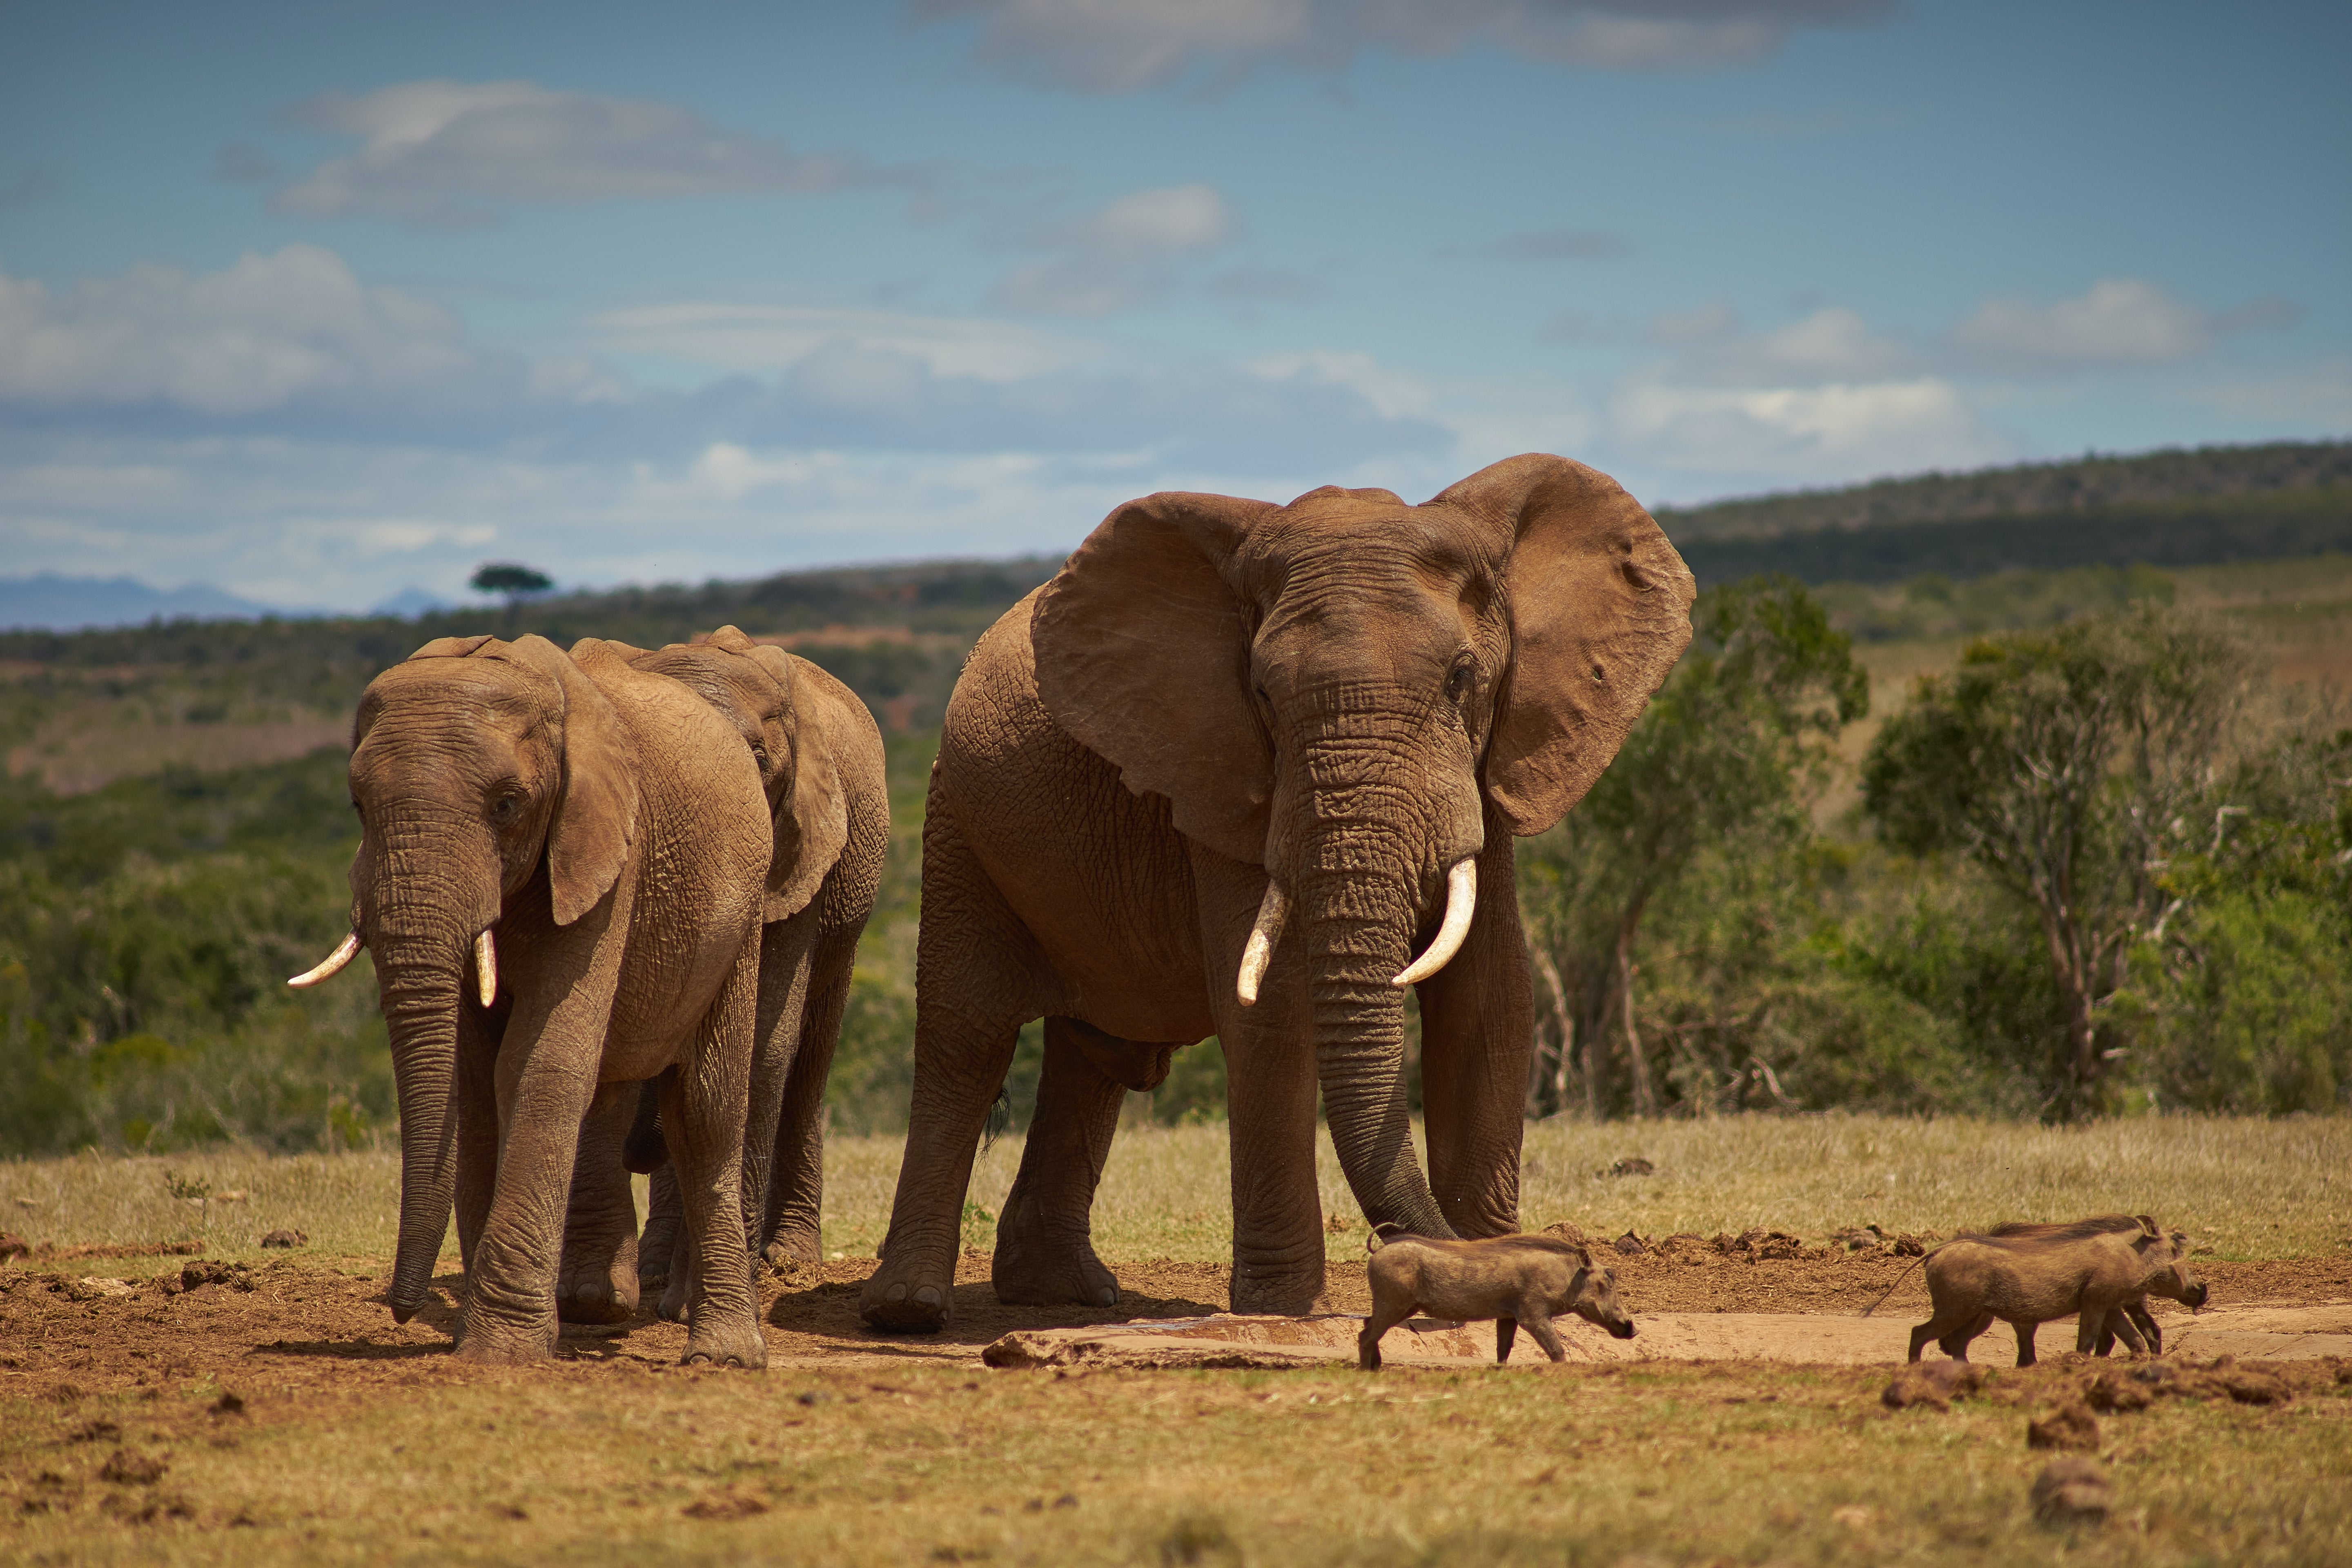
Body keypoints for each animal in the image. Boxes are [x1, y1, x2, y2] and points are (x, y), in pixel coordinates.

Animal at [290, 630, 771, 1363]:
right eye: (358, 808)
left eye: (508, 805)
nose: (403, 1311)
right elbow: (474, 1083)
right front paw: (487, 1337)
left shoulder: (608, 860)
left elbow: (534, 1062)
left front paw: (497, 1352)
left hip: (743, 914)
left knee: (706, 1114)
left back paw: (722, 1355)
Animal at [550, 625, 889, 1326]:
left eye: (758, 759)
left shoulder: (800, 850)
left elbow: (762, 1039)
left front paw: (702, 1300)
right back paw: (656, 1271)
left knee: (811, 1053)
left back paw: (786, 1261)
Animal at [861, 446, 1693, 1335]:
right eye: (1263, 693)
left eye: (1462, 678)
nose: (1407, 1250)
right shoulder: (1222, 777)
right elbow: (1276, 1005)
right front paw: (1291, 1310)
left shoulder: (1490, 769)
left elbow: (1489, 1000)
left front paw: (1494, 1279)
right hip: (954, 820)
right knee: (967, 1040)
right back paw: (909, 1311)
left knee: (1098, 1054)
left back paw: (1066, 1294)